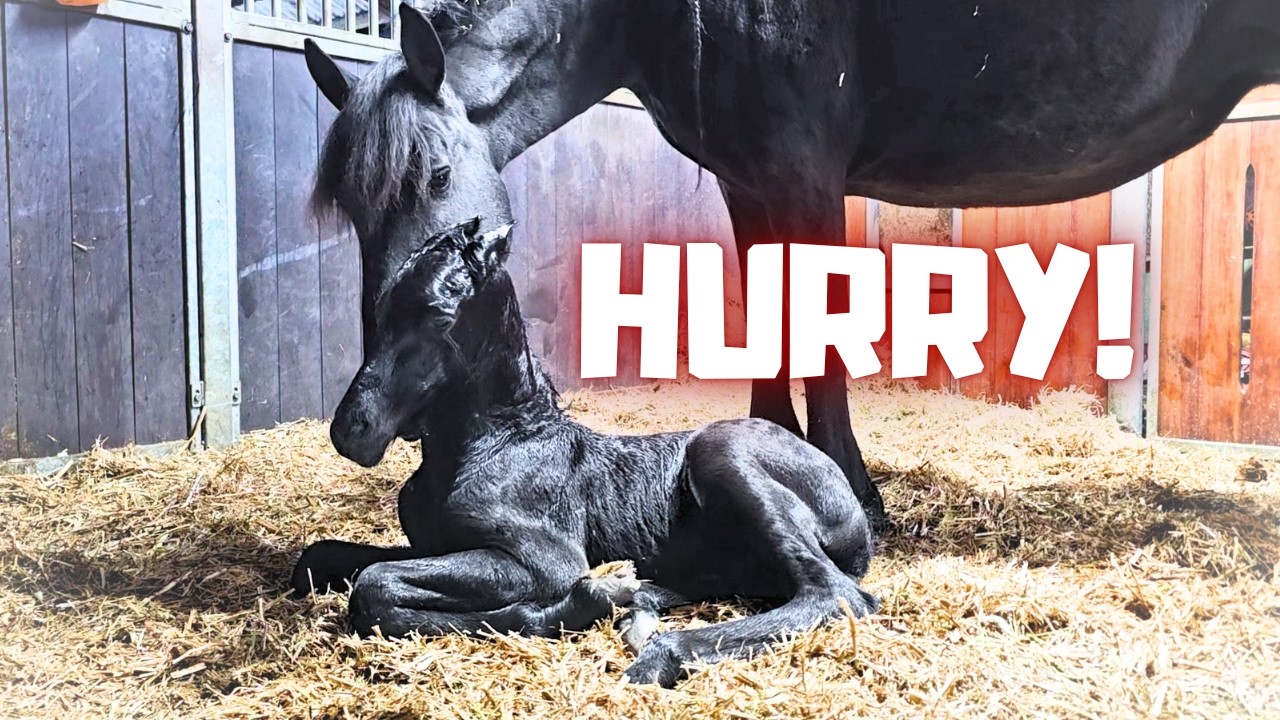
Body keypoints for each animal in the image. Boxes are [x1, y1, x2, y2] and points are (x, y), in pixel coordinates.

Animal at [291, 218, 879, 687]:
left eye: (436, 313)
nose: (351, 431)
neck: (497, 443)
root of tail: (853, 507)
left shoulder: (542, 560)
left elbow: (374, 587)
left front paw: (580, 603)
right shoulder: (434, 545)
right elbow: (323, 559)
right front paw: (604, 597)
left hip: (723, 452)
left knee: (835, 593)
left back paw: (657, 649)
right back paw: (638, 600)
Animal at [305, 0, 1280, 527]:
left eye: (435, 176)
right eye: (350, 205)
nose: (365, 422)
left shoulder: (805, 175)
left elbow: (821, 323)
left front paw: (855, 487)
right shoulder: (751, 180)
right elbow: (767, 319)